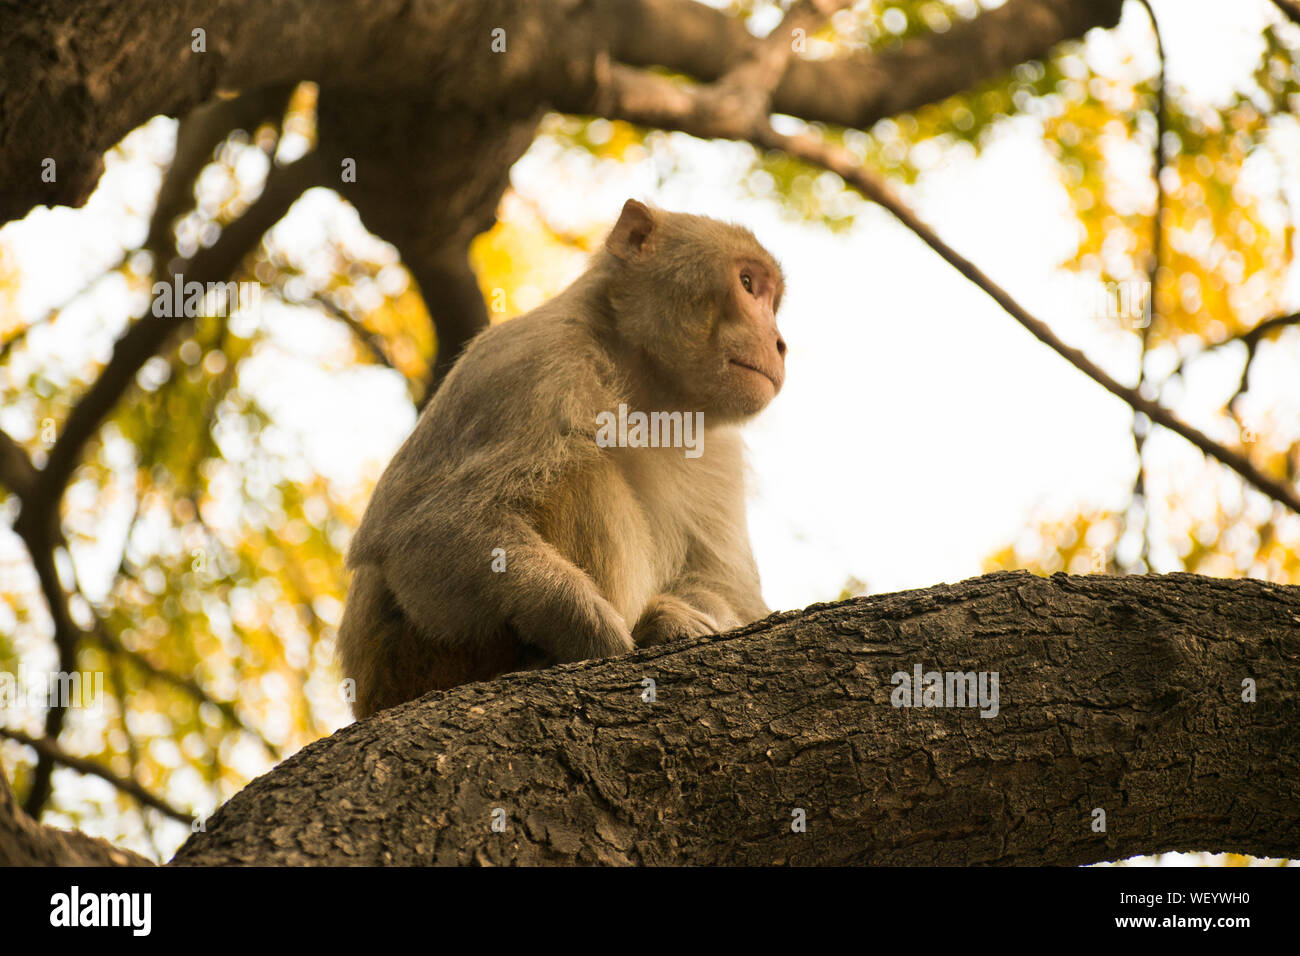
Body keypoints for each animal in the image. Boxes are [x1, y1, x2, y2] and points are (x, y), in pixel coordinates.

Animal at [335, 196, 785, 717]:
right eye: (747, 284)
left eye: (771, 299)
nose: (780, 343)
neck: (647, 391)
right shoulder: (530, 360)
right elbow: (418, 527)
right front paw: (586, 624)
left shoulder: (721, 452)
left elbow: (730, 591)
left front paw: (671, 619)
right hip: (419, 663)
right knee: (582, 474)